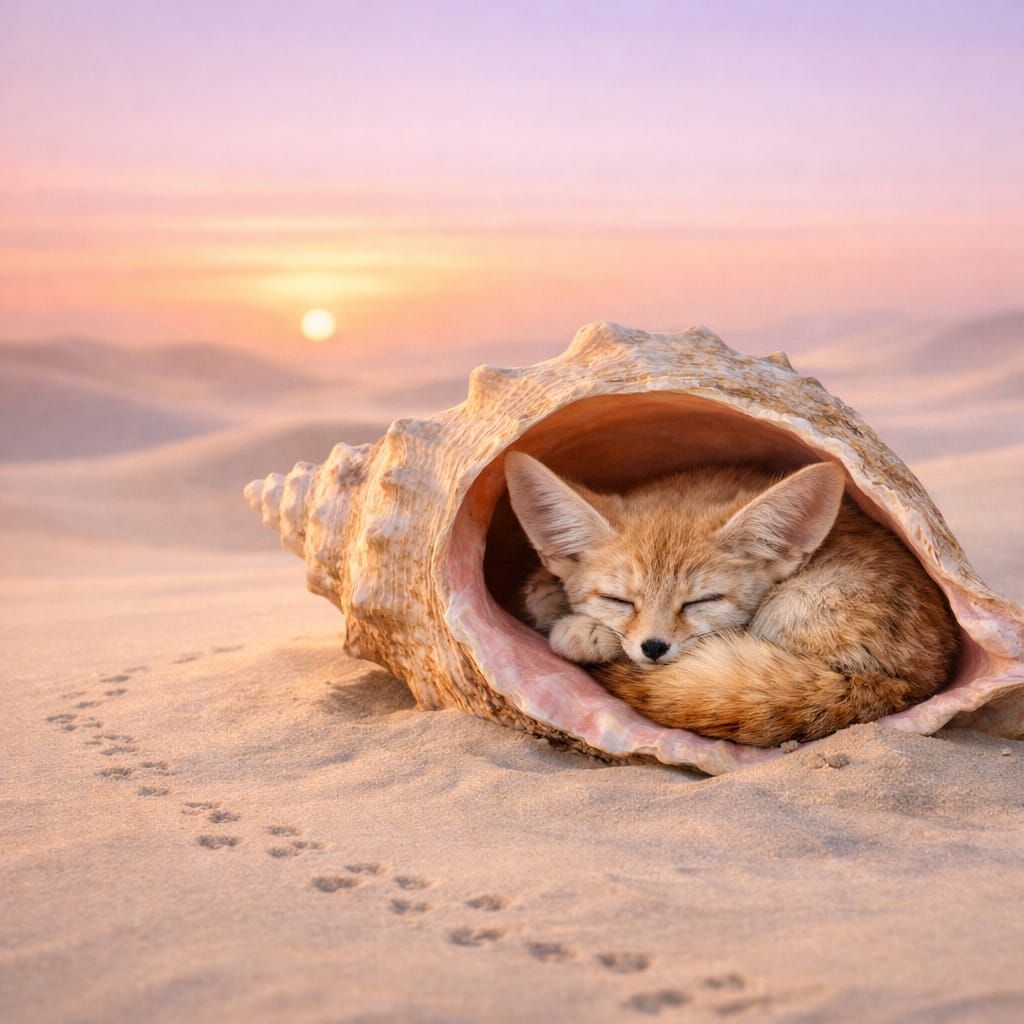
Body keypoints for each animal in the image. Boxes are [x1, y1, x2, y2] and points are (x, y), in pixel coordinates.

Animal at [503, 451, 959, 747]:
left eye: (701, 601)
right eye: (619, 600)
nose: (653, 647)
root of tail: (911, 681)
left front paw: (579, 632)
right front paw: (550, 599)